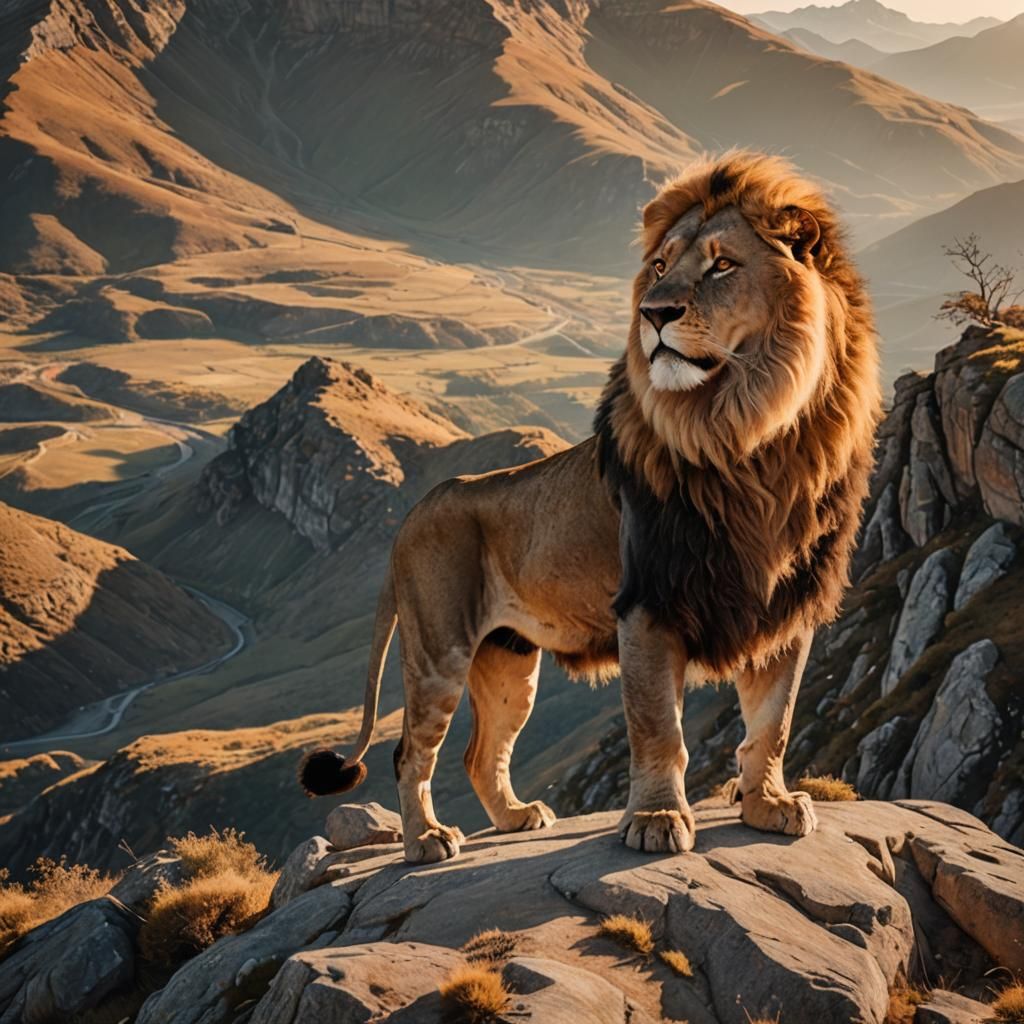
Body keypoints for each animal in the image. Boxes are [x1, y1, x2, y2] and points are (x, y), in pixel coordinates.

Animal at [299, 151, 881, 864]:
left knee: (479, 754)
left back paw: (517, 818)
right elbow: (659, 727)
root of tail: (416, 511)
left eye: (722, 265)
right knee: (411, 753)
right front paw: (656, 821)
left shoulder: (783, 610)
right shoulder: (648, 603)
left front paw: (768, 805)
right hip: (438, 649)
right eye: (659, 267)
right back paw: (426, 841)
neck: (749, 435)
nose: (654, 314)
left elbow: (773, 722)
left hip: (508, 661)